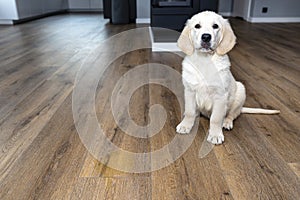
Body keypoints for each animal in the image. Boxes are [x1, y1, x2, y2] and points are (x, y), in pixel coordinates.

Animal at [176, 10, 278, 145]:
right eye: (197, 26)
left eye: (215, 26)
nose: (206, 37)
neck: (205, 60)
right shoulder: (190, 91)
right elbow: (189, 112)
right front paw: (185, 125)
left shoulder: (220, 96)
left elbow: (216, 118)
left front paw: (215, 135)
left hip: (240, 91)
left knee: (232, 114)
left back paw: (227, 122)